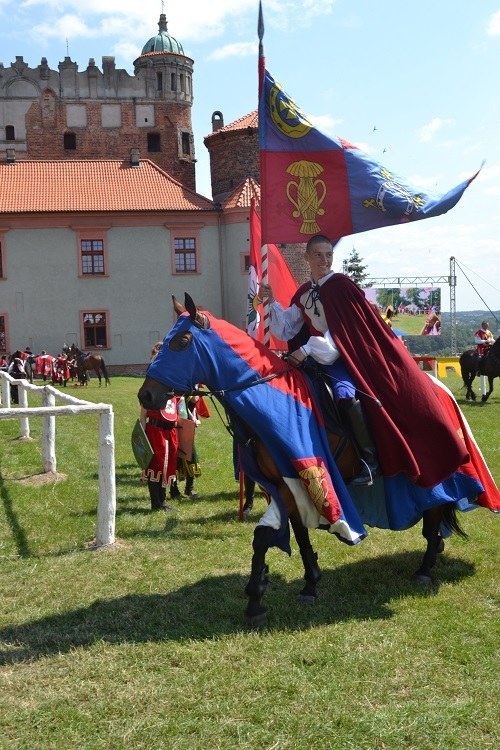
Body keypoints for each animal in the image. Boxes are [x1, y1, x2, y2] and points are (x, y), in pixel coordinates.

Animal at [137, 294, 496, 628]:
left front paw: (255, 599)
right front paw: (309, 583)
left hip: (439, 473)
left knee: (435, 511)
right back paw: (434, 552)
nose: (146, 396)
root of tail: (440, 389)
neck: (271, 399)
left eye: (182, 341)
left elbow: (264, 537)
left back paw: (424, 568)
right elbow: (295, 535)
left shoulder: (301, 479)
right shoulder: (289, 484)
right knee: (433, 513)